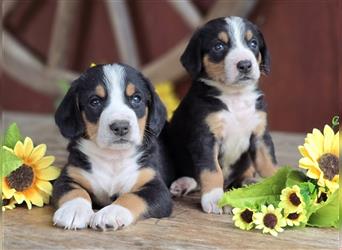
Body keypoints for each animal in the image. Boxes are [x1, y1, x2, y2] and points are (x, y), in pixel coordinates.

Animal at [52, 64, 172, 230]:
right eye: (94, 101)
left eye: (136, 98)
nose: (120, 126)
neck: (113, 158)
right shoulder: (69, 176)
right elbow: (75, 192)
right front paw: (74, 210)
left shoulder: (156, 187)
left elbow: (132, 197)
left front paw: (111, 213)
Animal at [168, 16, 278, 214]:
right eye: (218, 46)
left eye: (253, 43)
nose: (245, 64)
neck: (235, 97)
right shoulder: (204, 137)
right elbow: (211, 170)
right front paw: (214, 198)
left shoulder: (260, 134)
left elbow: (268, 163)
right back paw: (183, 183)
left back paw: (248, 182)